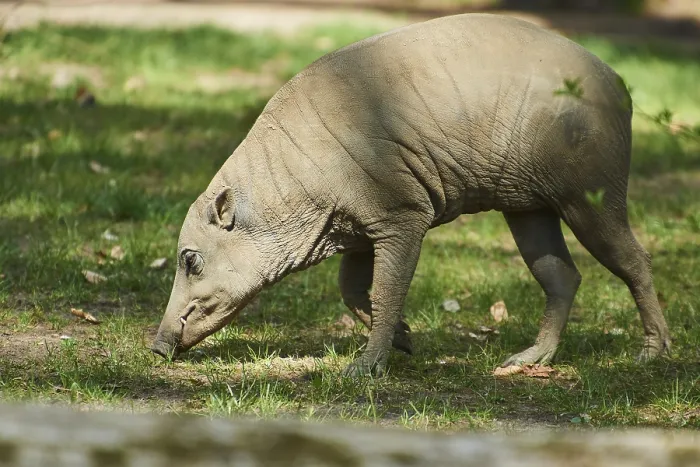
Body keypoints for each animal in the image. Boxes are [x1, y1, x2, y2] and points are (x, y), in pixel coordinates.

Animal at [151, 13, 671, 376]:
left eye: (191, 261)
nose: (157, 346)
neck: (293, 182)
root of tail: (620, 85)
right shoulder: (355, 228)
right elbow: (350, 288)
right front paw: (404, 339)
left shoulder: (400, 214)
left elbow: (386, 288)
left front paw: (366, 367)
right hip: (529, 208)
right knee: (563, 276)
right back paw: (523, 359)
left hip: (590, 192)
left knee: (634, 260)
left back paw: (653, 353)